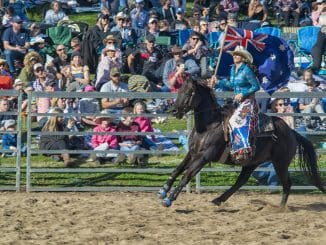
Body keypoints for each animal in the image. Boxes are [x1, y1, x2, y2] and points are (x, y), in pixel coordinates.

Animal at [157, 78, 324, 207]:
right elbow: (178, 169)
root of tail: (291, 132)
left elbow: (187, 175)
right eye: (178, 91)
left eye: (188, 92)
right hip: (252, 163)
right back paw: (218, 199)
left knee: (286, 184)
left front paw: (170, 199)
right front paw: (163, 190)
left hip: (280, 163)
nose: (173, 110)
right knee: (241, 181)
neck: (208, 126)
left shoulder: (204, 157)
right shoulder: (192, 153)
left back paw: (281, 208)